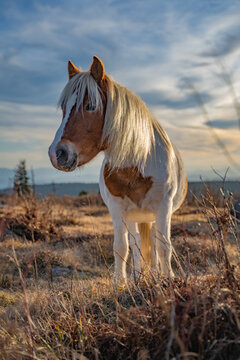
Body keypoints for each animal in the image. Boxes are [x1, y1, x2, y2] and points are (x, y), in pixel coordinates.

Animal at [48, 55, 188, 282]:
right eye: (63, 109)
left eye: (90, 106)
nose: (57, 153)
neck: (137, 165)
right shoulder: (117, 210)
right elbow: (122, 247)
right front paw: (121, 282)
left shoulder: (163, 208)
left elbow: (163, 246)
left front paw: (168, 279)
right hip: (133, 217)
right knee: (137, 242)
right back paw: (139, 276)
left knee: (154, 243)